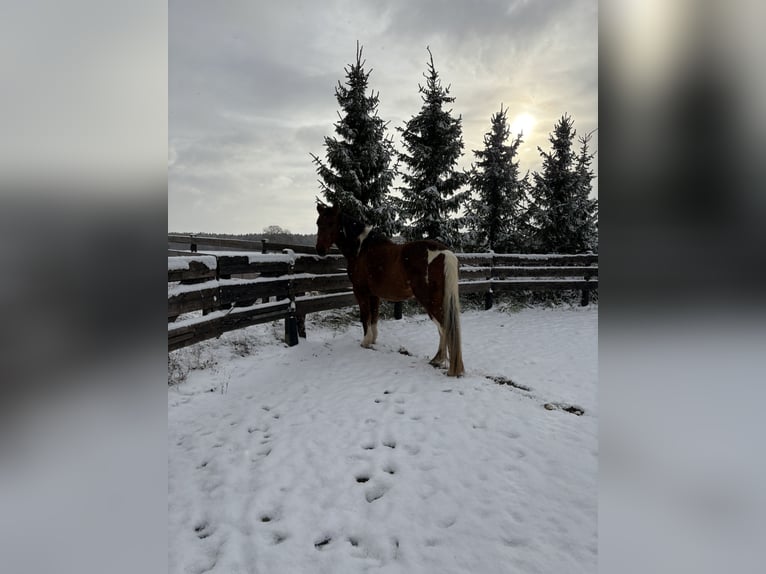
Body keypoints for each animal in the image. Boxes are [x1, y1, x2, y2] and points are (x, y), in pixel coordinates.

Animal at [315, 203, 465, 377]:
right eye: (318, 223)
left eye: (331, 223)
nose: (320, 250)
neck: (362, 249)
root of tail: (445, 253)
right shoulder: (374, 295)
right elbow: (374, 317)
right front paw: (373, 340)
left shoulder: (360, 291)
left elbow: (365, 316)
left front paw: (365, 342)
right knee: (444, 329)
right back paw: (437, 360)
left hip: (429, 301)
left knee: (444, 327)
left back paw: (445, 364)